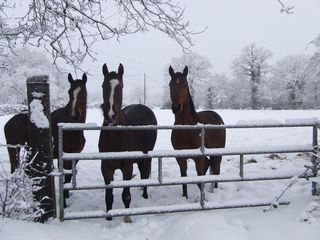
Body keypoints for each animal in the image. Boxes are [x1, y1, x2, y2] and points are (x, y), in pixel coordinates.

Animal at [3, 73, 87, 204]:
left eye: (83, 92)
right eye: (69, 92)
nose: (74, 115)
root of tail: (10, 121)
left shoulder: (74, 155)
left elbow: (69, 177)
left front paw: (67, 196)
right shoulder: (63, 157)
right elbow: (65, 177)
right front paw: (63, 201)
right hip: (13, 148)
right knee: (15, 168)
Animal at [98, 62, 157, 222]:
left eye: (121, 86)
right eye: (103, 85)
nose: (110, 116)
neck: (115, 136)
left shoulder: (127, 167)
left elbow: (126, 195)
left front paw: (127, 218)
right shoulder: (106, 168)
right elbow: (108, 196)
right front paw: (109, 218)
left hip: (146, 155)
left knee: (145, 173)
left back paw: (145, 196)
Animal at [169, 65, 226, 199]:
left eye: (185, 84)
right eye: (170, 84)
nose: (176, 108)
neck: (186, 130)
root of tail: (217, 117)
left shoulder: (198, 158)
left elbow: (200, 177)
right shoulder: (180, 158)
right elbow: (184, 177)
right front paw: (185, 197)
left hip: (218, 152)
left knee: (217, 169)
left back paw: (215, 190)